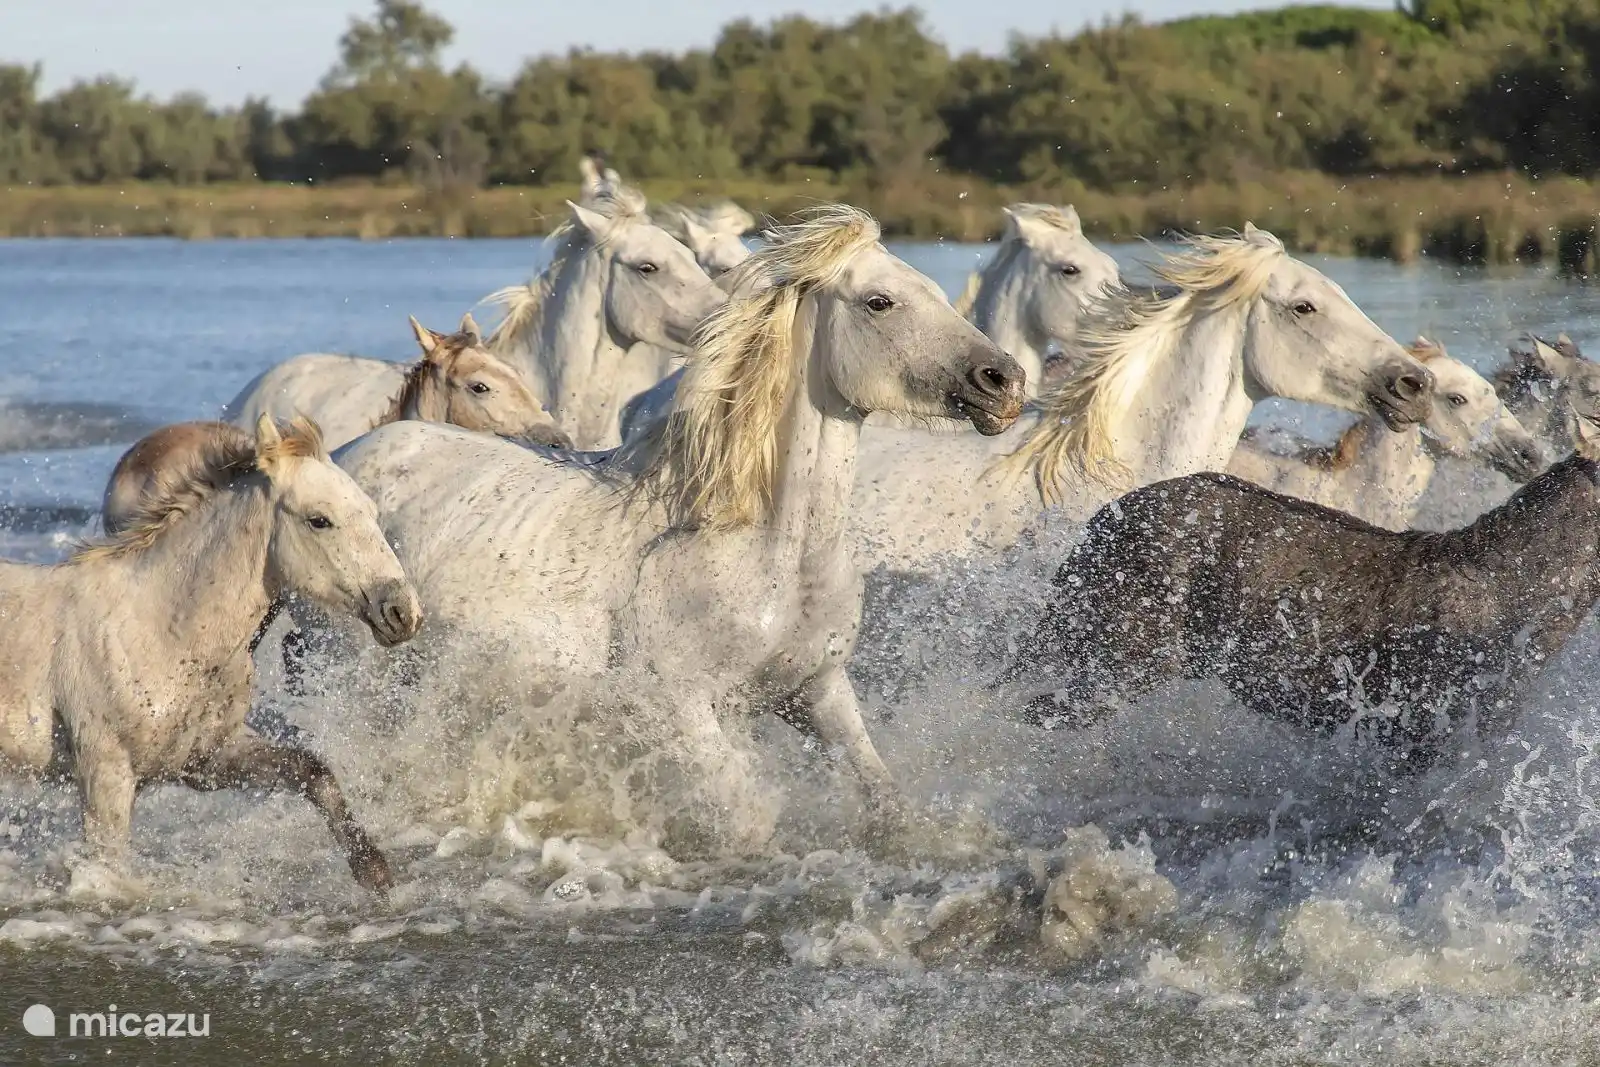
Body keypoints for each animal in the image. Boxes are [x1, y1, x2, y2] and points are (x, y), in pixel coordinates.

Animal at [0, 415, 421, 892]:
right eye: (319, 520)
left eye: (371, 513)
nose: (402, 612)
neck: (159, 627)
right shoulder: (105, 772)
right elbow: (110, 867)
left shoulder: (207, 759)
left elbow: (313, 771)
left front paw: (374, 870)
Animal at [330, 205, 1026, 850]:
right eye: (879, 302)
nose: (1004, 381)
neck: (769, 551)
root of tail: (346, 454)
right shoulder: (682, 708)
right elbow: (747, 818)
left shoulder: (818, 690)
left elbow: (884, 798)